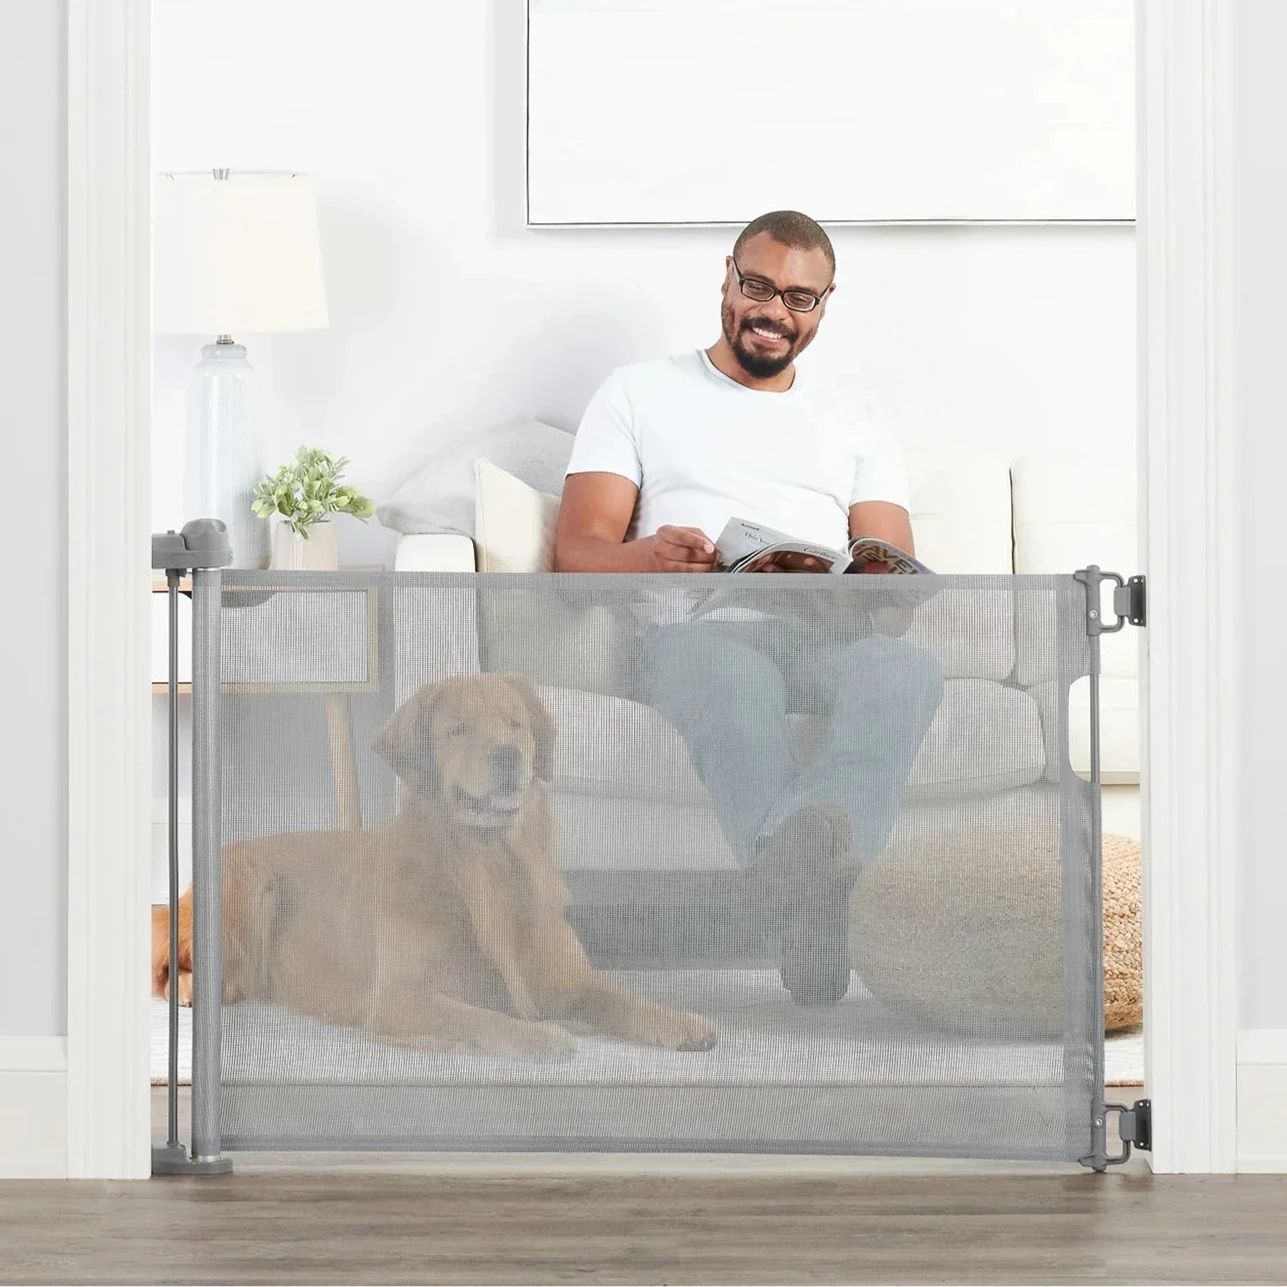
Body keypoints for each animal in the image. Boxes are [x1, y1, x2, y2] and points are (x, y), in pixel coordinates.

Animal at [153, 669, 715, 1060]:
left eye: (517, 724)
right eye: (458, 730)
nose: (509, 755)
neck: (488, 868)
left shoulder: (567, 978)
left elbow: (617, 998)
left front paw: (681, 1022)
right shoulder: (400, 996)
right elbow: (477, 1018)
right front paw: (540, 1036)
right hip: (254, 884)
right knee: (176, 972)